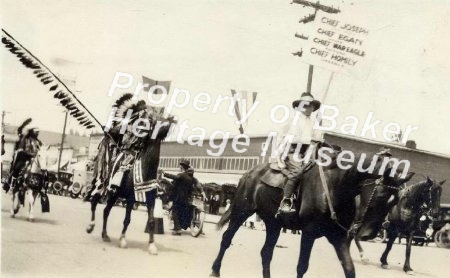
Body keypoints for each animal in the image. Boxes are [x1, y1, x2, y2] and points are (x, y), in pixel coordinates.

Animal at [86, 114, 174, 253]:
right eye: (156, 121)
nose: (171, 121)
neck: (145, 169)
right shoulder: (131, 199)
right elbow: (127, 220)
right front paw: (122, 240)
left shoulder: (151, 200)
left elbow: (151, 221)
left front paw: (152, 245)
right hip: (101, 186)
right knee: (94, 202)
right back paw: (91, 226)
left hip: (113, 195)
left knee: (106, 211)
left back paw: (105, 235)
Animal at [210, 154, 412, 278]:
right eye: (380, 195)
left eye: (395, 201)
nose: (368, 234)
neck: (335, 186)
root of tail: (249, 174)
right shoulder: (308, 233)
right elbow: (302, 266)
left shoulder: (339, 238)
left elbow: (349, 269)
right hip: (241, 211)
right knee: (226, 239)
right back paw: (215, 270)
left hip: (274, 224)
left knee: (266, 252)